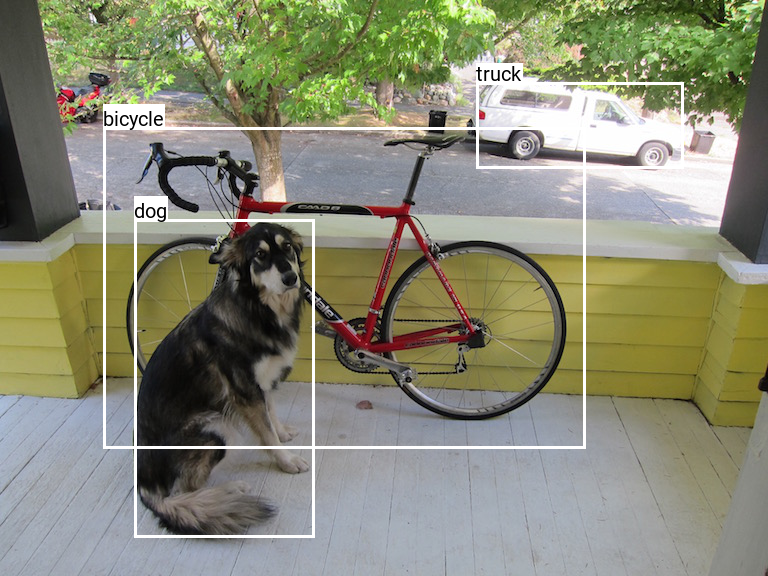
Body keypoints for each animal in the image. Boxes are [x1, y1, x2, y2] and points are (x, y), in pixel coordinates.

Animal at [136, 222, 308, 536]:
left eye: (287, 247)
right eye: (260, 255)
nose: (291, 277)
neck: (257, 309)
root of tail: (144, 481)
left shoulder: (262, 382)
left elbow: (271, 413)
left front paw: (282, 431)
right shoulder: (245, 391)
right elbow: (267, 434)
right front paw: (286, 461)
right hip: (218, 428)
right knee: (186, 490)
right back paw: (229, 491)